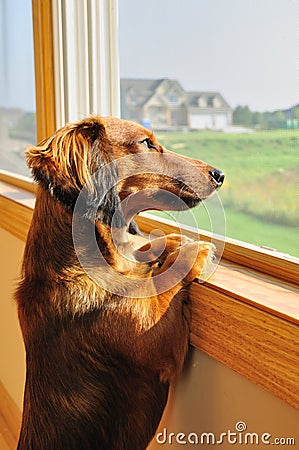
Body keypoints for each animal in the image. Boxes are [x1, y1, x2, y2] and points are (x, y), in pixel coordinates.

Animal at [15, 117, 224, 450]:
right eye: (147, 143)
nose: (219, 174)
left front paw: (168, 243)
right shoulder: (156, 339)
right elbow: (163, 284)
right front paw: (191, 250)